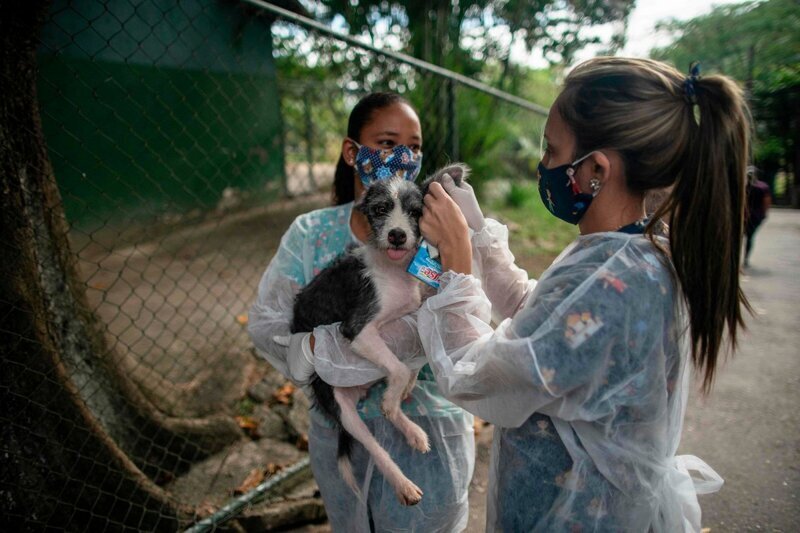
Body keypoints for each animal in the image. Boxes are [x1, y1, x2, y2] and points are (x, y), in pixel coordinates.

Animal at [290, 164, 468, 504]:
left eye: (416, 211)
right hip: (342, 408)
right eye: (380, 209)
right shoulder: (358, 329)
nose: (397, 235)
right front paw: (393, 397)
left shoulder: (416, 317)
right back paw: (403, 483)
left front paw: (402, 392)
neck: (394, 270)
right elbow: (398, 369)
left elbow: (413, 364)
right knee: (375, 448)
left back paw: (411, 430)